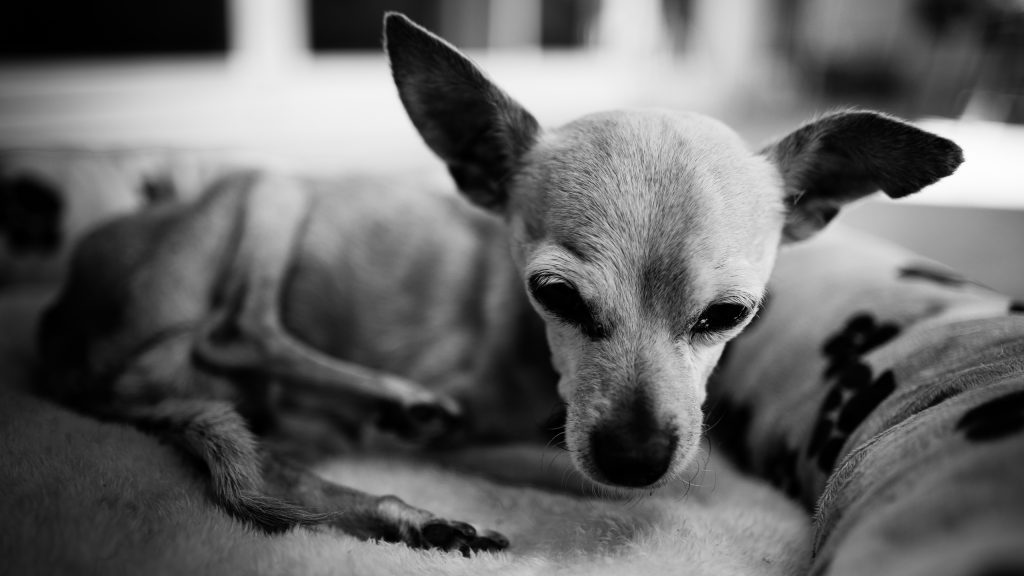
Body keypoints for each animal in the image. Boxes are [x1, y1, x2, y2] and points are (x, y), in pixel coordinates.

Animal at [32, 12, 958, 553]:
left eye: (730, 315)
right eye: (555, 296)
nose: (633, 458)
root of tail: (59, 342)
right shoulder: (499, 439)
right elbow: (571, 467)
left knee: (262, 480)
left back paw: (407, 513)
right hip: (268, 191)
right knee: (237, 331)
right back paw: (397, 415)